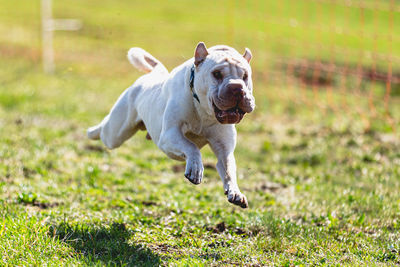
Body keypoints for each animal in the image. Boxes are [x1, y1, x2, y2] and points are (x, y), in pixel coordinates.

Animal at [88, 42, 256, 209]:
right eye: (216, 74)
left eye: (245, 76)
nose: (237, 88)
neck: (203, 111)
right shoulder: (170, 135)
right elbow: (191, 147)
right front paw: (195, 168)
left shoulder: (224, 149)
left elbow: (228, 168)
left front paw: (235, 192)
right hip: (116, 133)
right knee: (105, 130)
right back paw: (91, 131)